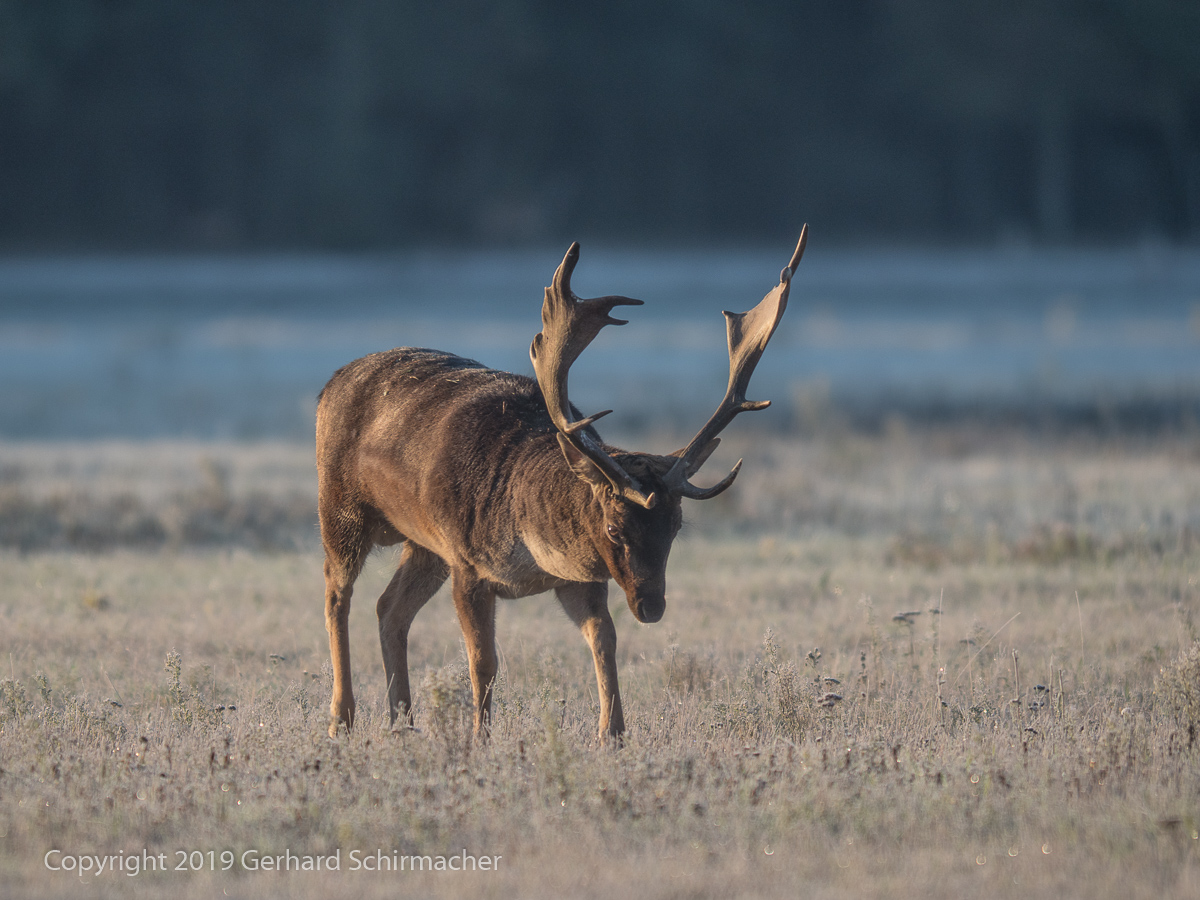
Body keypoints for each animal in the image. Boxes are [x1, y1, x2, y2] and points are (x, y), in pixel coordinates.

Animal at [316, 229, 806, 744]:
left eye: (675, 527)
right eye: (614, 529)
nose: (652, 606)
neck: (527, 544)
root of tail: (330, 383)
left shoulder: (579, 579)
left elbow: (605, 642)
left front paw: (612, 734)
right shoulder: (467, 562)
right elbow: (483, 662)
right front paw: (480, 738)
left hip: (422, 544)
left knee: (389, 607)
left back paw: (402, 721)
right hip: (340, 508)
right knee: (336, 595)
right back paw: (341, 718)